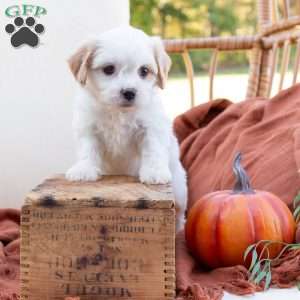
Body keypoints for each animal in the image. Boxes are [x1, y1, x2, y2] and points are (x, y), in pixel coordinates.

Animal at [67, 26, 186, 230]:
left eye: (144, 71)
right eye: (108, 69)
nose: (129, 92)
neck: (119, 112)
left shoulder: (152, 128)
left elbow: (153, 150)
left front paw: (154, 172)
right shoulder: (88, 127)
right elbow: (87, 149)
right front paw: (84, 169)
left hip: (180, 189)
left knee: (179, 213)